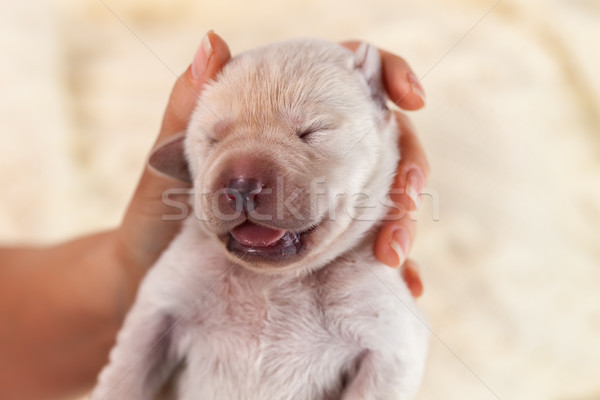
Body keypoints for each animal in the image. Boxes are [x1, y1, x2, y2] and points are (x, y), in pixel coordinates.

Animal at [90, 37, 426, 400]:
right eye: (212, 139)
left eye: (312, 131)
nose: (241, 186)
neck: (272, 280)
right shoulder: (160, 304)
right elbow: (126, 372)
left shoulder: (389, 346)